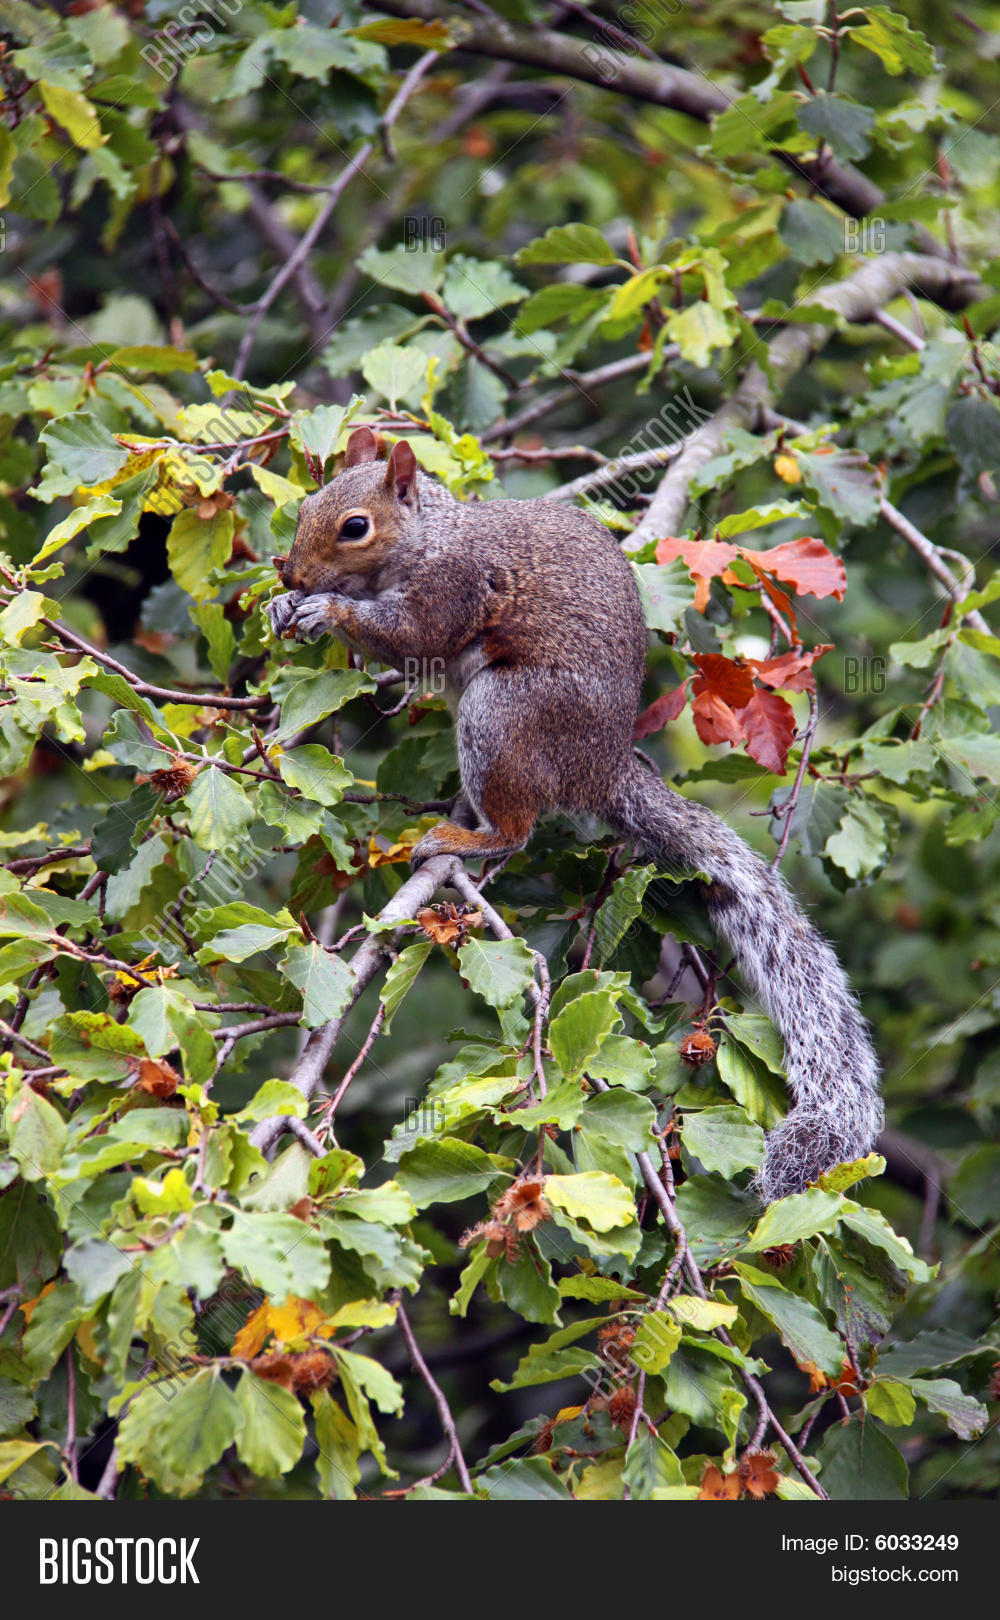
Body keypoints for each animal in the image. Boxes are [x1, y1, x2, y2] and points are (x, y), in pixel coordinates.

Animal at [268, 425, 882, 1203]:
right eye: (306, 504)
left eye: (355, 527)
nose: (291, 574)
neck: (431, 538)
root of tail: (602, 768)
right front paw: (284, 611)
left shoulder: (454, 587)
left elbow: (414, 637)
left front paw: (327, 612)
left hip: (504, 714)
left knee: (518, 826)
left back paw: (469, 834)